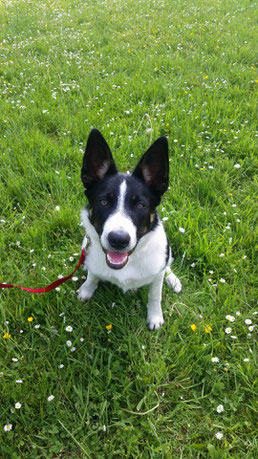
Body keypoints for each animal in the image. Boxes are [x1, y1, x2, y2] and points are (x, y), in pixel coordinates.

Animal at [78, 129, 181, 330]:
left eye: (140, 205)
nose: (118, 240)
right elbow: (93, 275)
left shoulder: (156, 274)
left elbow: (154, 295)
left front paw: (154, 316)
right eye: (104, 202)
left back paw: (173, 280)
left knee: (168, 266)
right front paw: (87, 289)